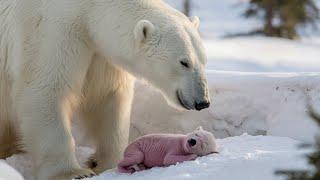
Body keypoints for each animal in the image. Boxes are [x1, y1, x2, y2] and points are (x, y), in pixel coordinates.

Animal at [0, 0, 210, 180]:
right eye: (184, 62)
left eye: (203, 60)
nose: (202, 101)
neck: (86, 9)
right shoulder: (49, 31)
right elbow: (46, 91)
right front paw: (74, 173)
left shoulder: (100, 54)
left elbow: (108, 98)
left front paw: (106, 163)